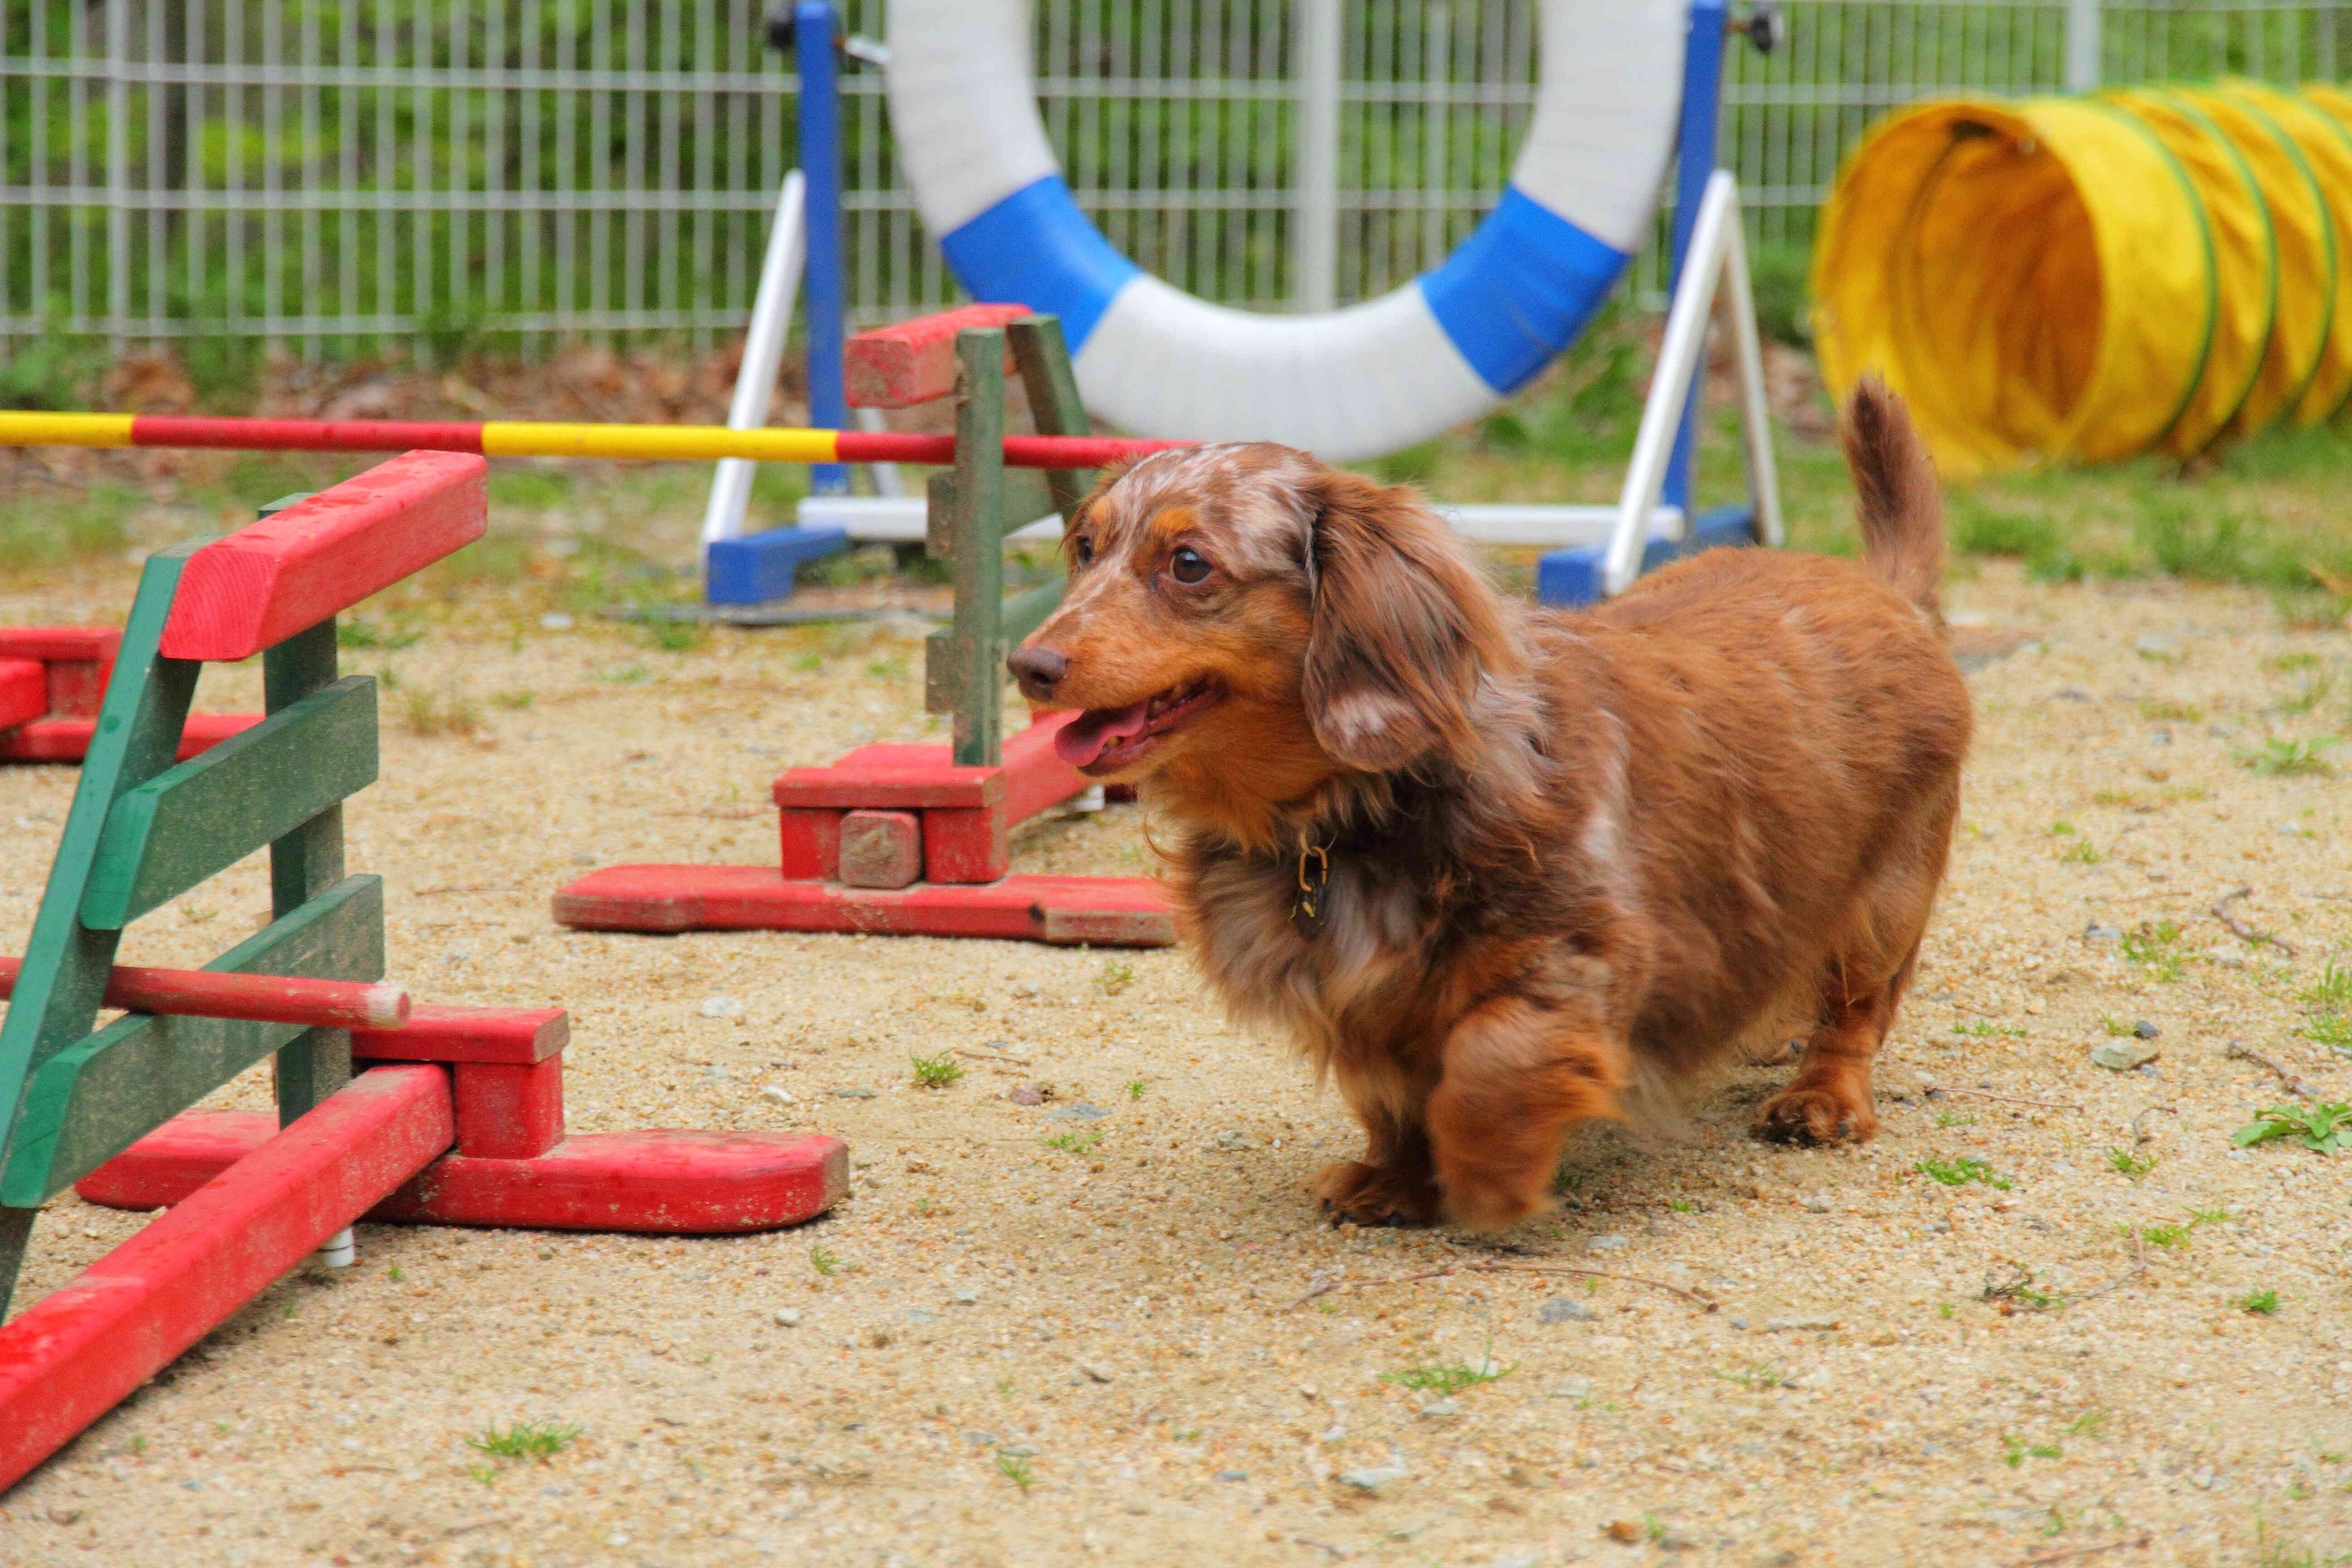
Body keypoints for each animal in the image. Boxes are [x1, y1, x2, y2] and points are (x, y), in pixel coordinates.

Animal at [1006, 383, 1966, 1241]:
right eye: (1084, 546)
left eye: (1188, 564)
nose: (1027, 665)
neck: (1350, 811)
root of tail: (1884, 587)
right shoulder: (1362, 1004)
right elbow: (1390, 1094)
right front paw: (1395, 1180)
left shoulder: (1581, 954)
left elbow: (1487, 1060)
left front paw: (1489, 1175)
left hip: (1885, 895)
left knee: (1857, 1005)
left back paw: (1817, 1097)